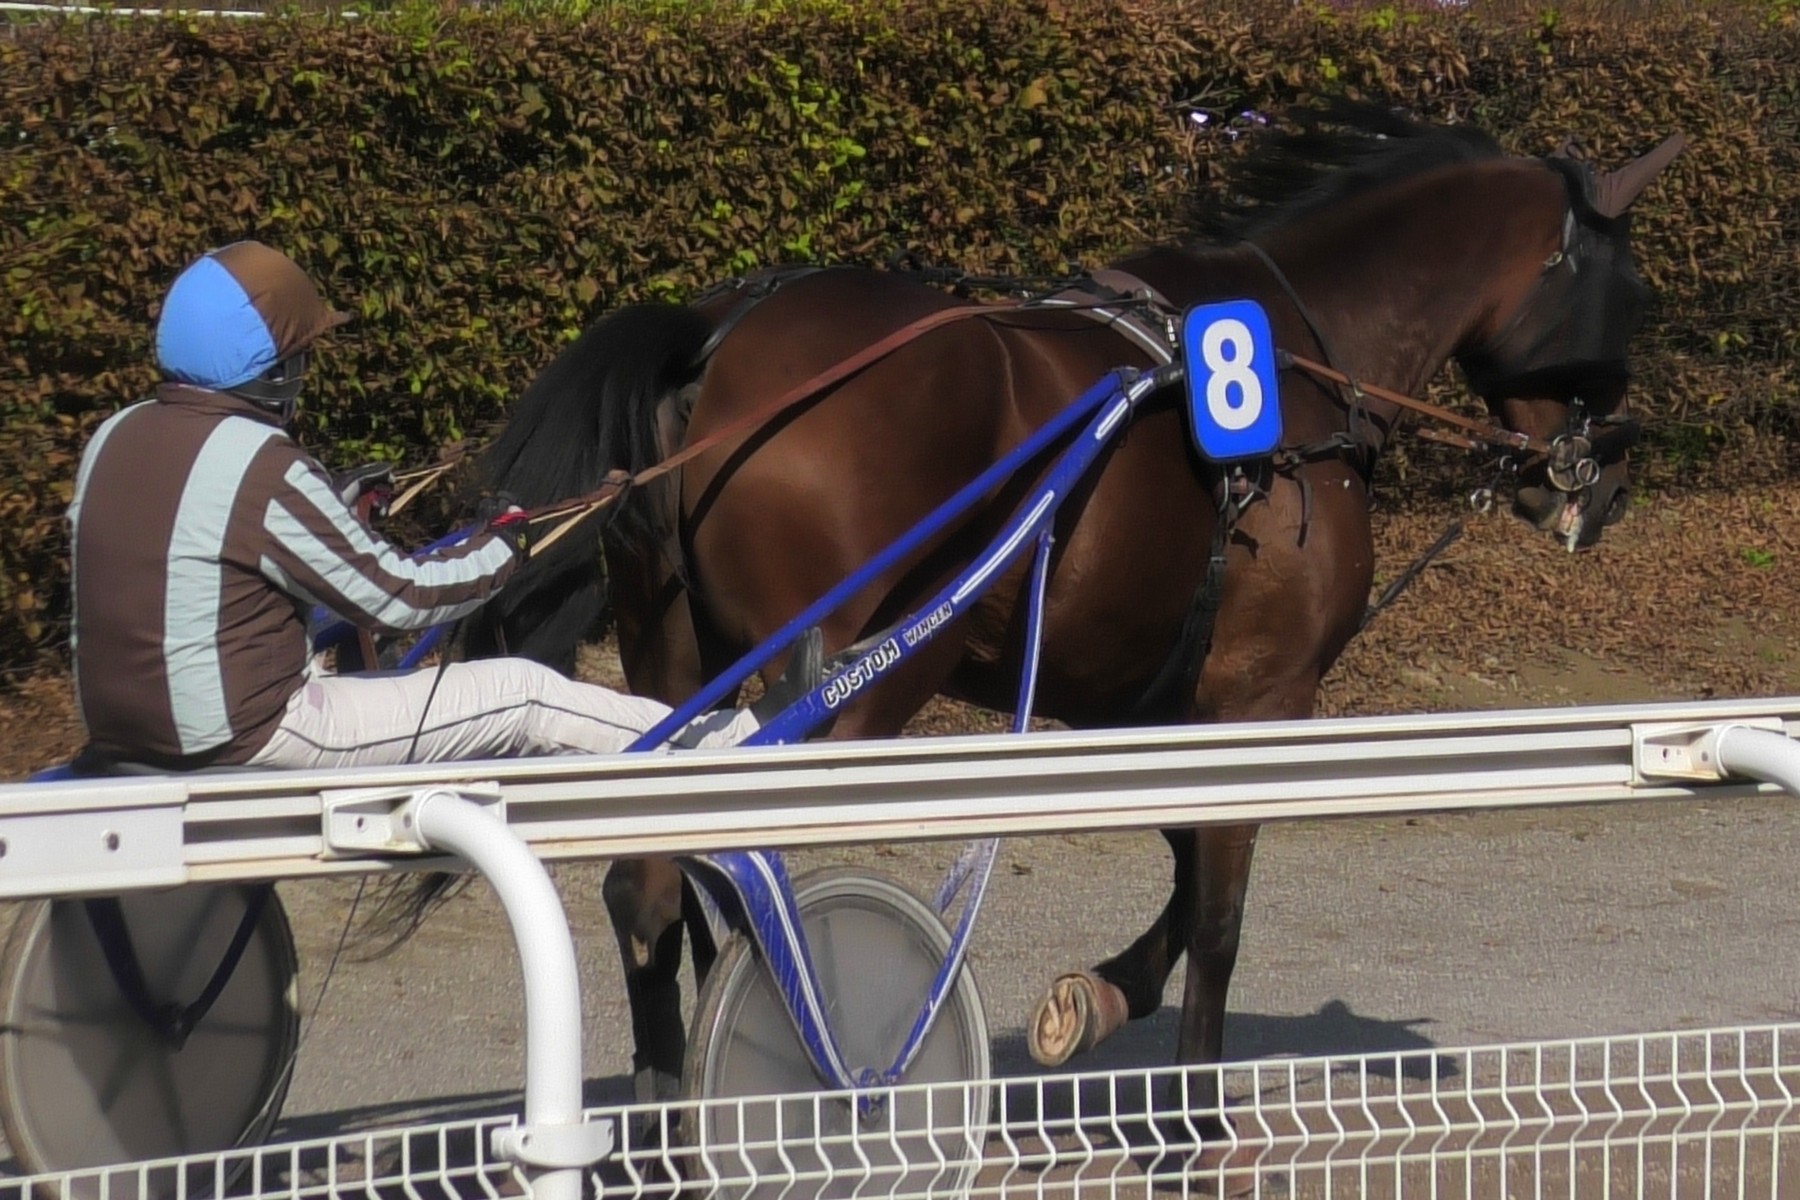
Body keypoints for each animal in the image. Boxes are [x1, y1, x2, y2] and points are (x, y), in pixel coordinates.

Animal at [469, 102, 1683, 1113]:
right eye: (1628, 293)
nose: (1610, 481)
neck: (1299, 359)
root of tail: (716, 341)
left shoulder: (1138, 695)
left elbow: (1185, 867)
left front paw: (1099, 998)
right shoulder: (1265, 691)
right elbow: (1218, 912)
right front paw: (1190, 1120)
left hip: (673, 657)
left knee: (646, 889)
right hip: (863, 673)